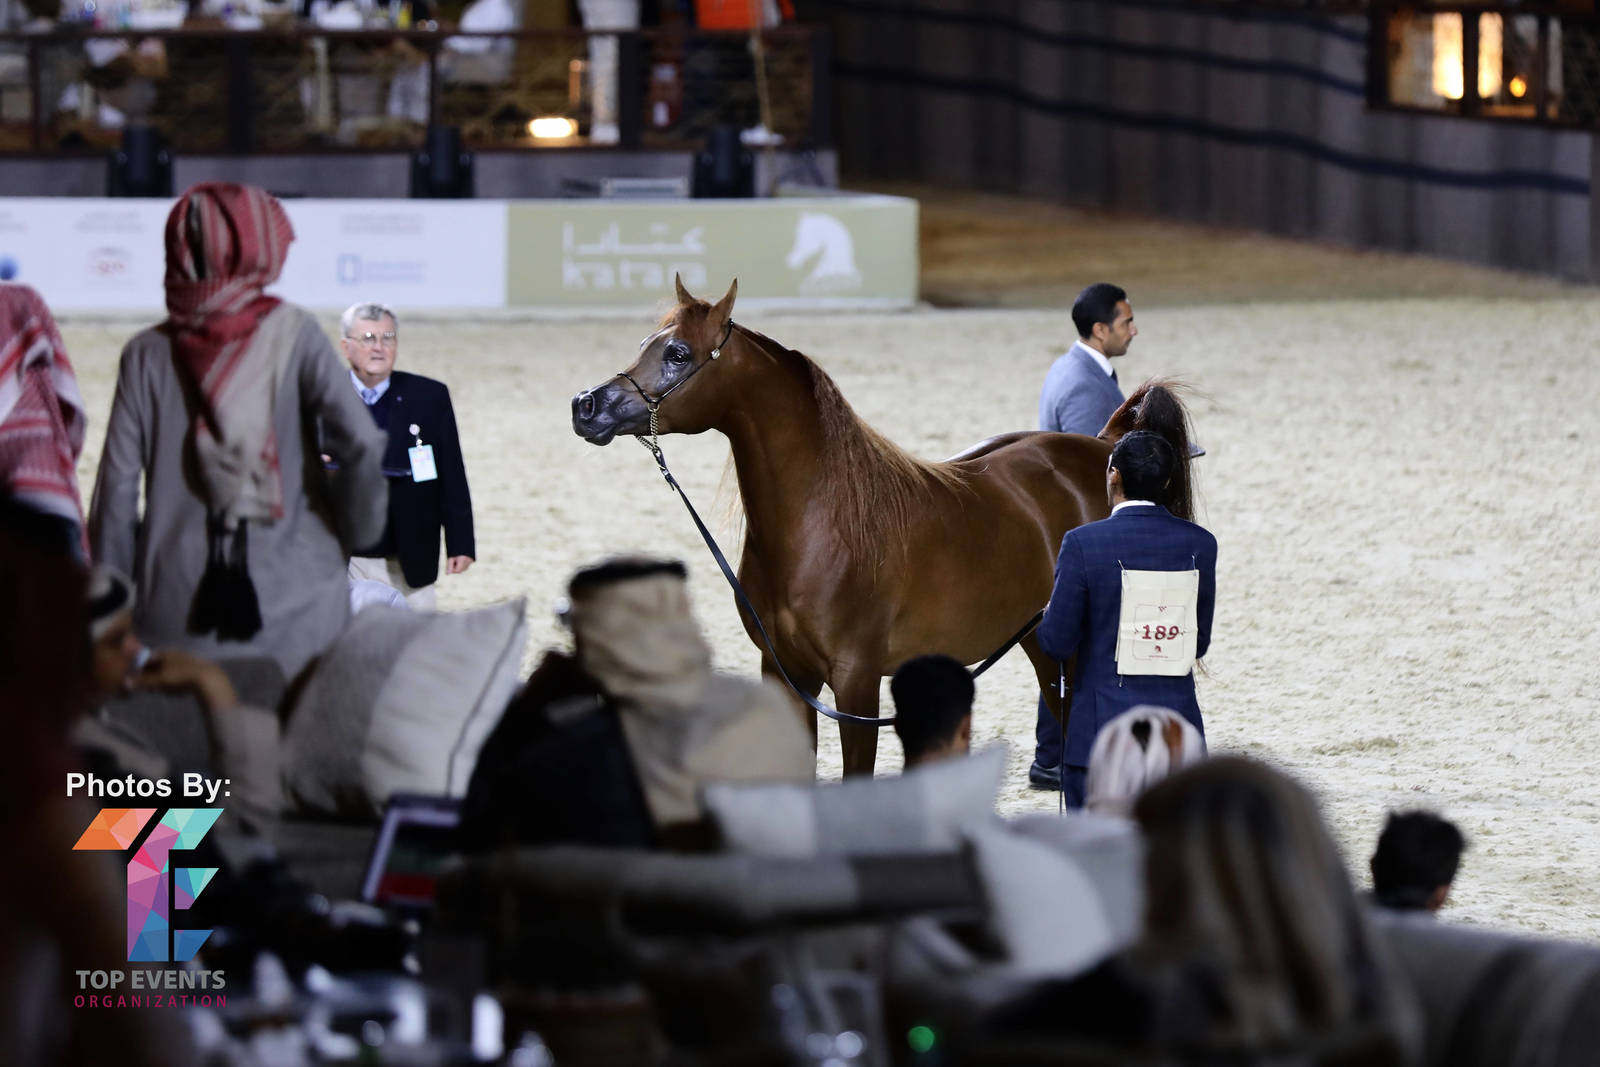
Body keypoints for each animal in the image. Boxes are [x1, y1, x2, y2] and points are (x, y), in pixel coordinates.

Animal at [571, 277, 1197, 775]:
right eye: (646, 344)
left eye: (678, 353)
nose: (585, 405)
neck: (819, 522)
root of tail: (1104, 446)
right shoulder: (786, 675)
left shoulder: (857, 682)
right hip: (1041, 644)